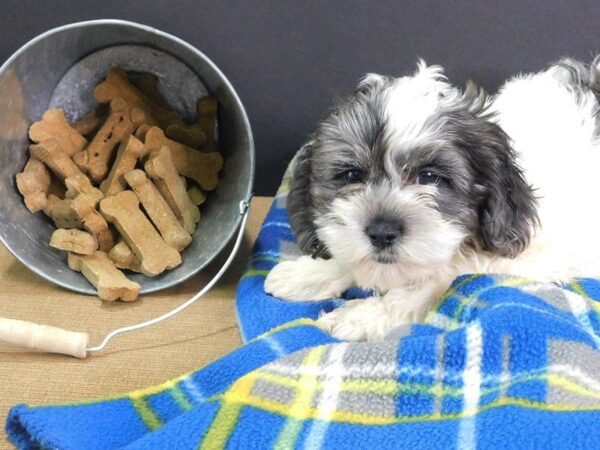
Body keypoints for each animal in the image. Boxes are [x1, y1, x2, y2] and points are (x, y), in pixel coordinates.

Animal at [264, 59, 600, 342]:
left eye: (429, 176)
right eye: (351, 175)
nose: (382, 231)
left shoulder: (535, 256)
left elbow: (445, 273)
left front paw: (364, 315)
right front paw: (309, 274)